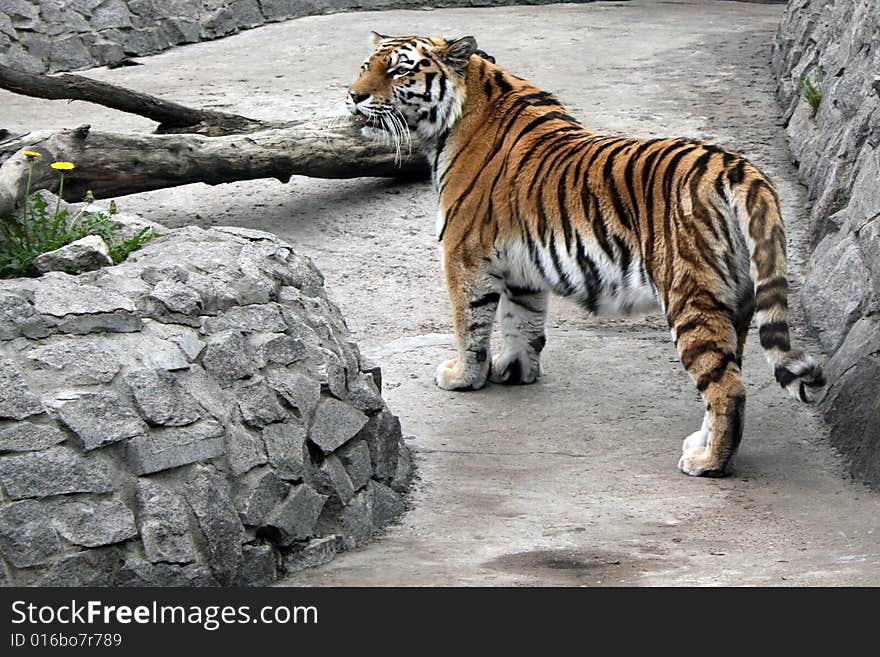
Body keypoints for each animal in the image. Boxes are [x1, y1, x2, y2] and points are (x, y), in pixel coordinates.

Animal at [346, 33, 824, 474]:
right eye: (366, 66)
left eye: (399, 70)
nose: (353, 95)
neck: (459, 114)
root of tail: (740, 168)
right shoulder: (521, 266)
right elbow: (522, 322)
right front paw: (515, 370)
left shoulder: (464, 254)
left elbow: (471, 325)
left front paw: (462, 376)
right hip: (735, 301)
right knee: (728, 373)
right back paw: (700, 445)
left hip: (690, 296)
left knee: (727, 387)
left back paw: (708, 463)